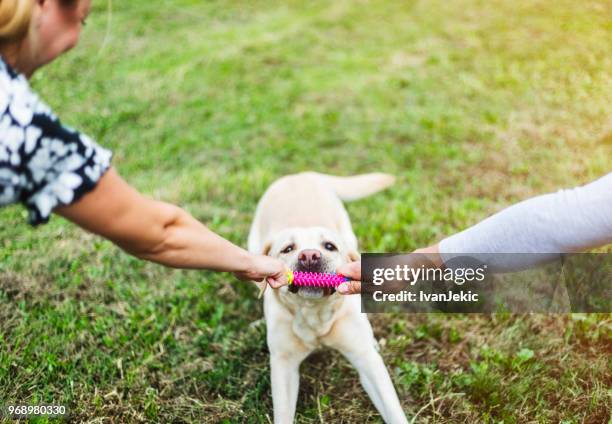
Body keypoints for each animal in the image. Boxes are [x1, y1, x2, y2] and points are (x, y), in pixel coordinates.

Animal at [246, 172, 408, 424]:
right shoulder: (283, 366)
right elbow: (283, 414)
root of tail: (300, 174)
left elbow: (392, 409)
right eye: (288, 248)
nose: (309, 256)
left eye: (329, 246)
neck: (313, 314)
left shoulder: (366, 361)